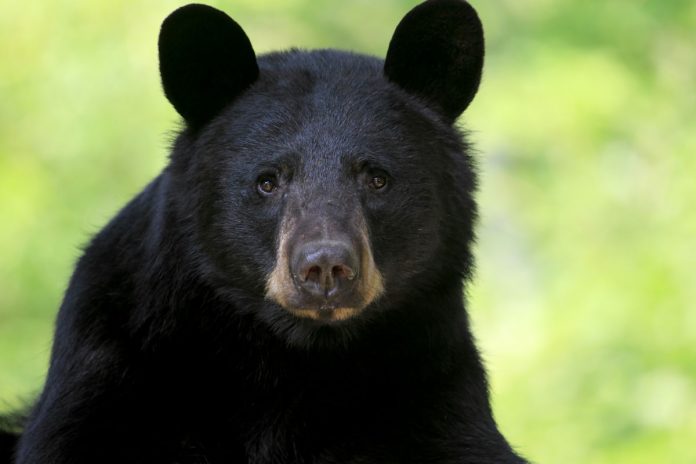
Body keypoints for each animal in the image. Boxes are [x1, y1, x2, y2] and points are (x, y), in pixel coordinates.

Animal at [1, 1, 527, 463]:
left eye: (377, 178)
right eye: (268, 181)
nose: (325, 266)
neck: (289, 355)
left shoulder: (430, 382)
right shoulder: (116, 366)